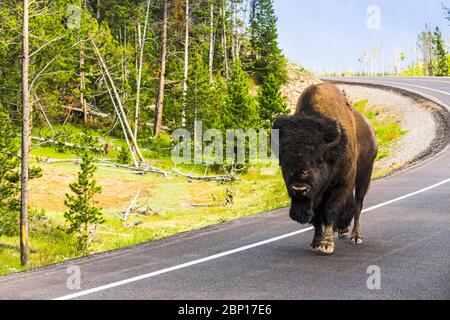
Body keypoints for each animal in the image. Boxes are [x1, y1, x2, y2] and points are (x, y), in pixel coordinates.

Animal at [272, 82, 378, 255]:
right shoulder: (315, 196)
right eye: (285, 161)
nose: (300, 189)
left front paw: (327, 244)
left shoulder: (341, 185)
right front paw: (316, 243)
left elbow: (329, 212)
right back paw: (342, 231)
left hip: (364, 175)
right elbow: (317, 218)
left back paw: (355, 237)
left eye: (319, 160)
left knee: (358, 204)